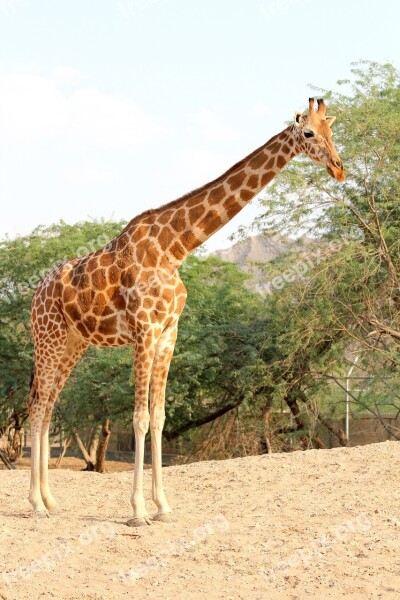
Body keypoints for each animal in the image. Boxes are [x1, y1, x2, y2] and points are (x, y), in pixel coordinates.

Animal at [27, 97, 344, 524]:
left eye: (331, 131)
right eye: (309, 133)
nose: (339, 168)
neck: (175, 248)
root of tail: (36, 293)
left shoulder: (168, 333)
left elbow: (160, 417)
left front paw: (163, 506)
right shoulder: (144, 331)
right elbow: (140, 418)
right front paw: (138, 510)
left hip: (73, 343)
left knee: (47, 407)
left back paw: (50, 501)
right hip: (47, 338)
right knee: (37, 406)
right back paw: (35, 503)